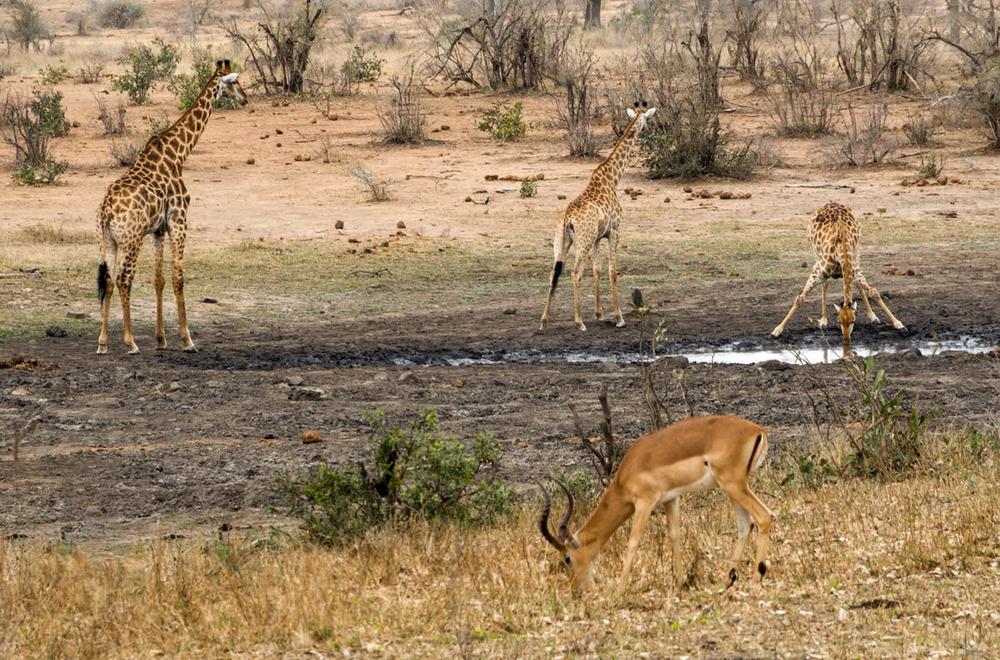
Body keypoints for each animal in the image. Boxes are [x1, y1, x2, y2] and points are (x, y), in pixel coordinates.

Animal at [95, 58, 248, 354]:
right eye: (234, 82)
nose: (246, 98)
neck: (178, 154)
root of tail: (106, 211)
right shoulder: (179, 220)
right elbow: (178, 277)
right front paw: (187, 340)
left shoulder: (158, 229)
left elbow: (159, 280)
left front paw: (161, 339)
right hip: (132, 240)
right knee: (123, 280)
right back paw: (130, 342)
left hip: (108, 241)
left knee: (107, 281)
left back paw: (103, 342)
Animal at [540, 418, 772, 600]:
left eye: (567, 558)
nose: (575, 591)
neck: (628, 470)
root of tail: (757, 430)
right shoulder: (671, 499)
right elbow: (674, 534)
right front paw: (681, 582)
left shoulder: (644, 502)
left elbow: (633, 542)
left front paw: (618, 591)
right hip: (731, 488)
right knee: (745, 524)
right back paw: (727, 580)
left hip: (733, 484)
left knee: (764, 517)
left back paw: (756, 579)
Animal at [768, 202, 912, 354]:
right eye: (839, 321)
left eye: (853, 320)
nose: (846, 339)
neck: (841, 246)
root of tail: (831, 203)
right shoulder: (817, 271)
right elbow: (800, 298)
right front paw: (776, 331)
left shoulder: (855, 270)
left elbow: (874, 292)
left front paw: (899, 325)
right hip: (816, 252)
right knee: (825, 284)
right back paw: (823, 320)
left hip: (857, 251)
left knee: (855, 284)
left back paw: (872, 316)